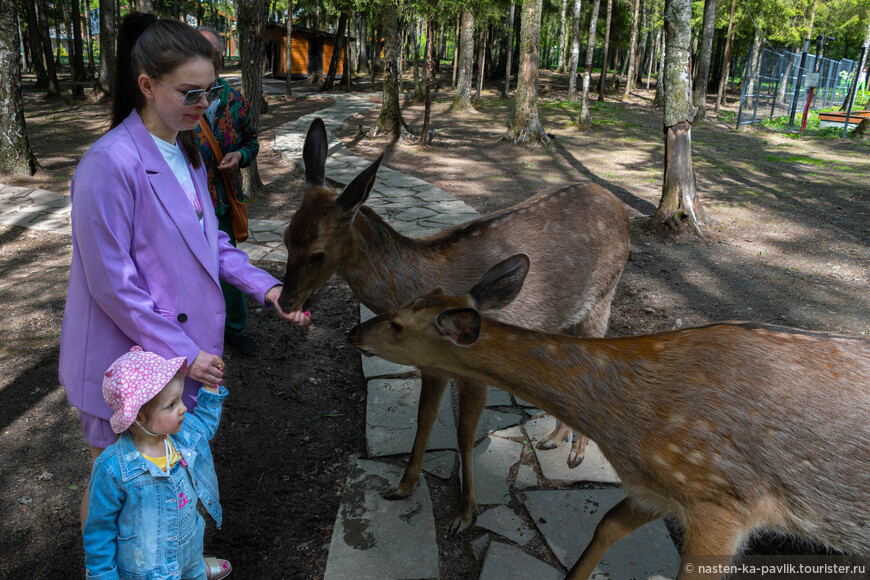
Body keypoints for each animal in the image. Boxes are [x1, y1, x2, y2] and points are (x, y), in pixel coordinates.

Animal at [282, 116, 632, 532]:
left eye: (317, 254)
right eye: (286, 237)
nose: (285, 301)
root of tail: (618, 204)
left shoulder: (477, 370)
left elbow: (465, 436)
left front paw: (465, 512)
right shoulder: (431, 368)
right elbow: (424, 420)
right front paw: (403, 486)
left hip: (604, 296)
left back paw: (576, 453)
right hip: (563, 315)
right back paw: (553, 438)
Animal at [350, 254, 870, 580]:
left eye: (397, 325)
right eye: (404, 303)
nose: (355, 333)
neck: (626, 425)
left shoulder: (720, 499)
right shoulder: (659, 489)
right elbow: (606, 526)